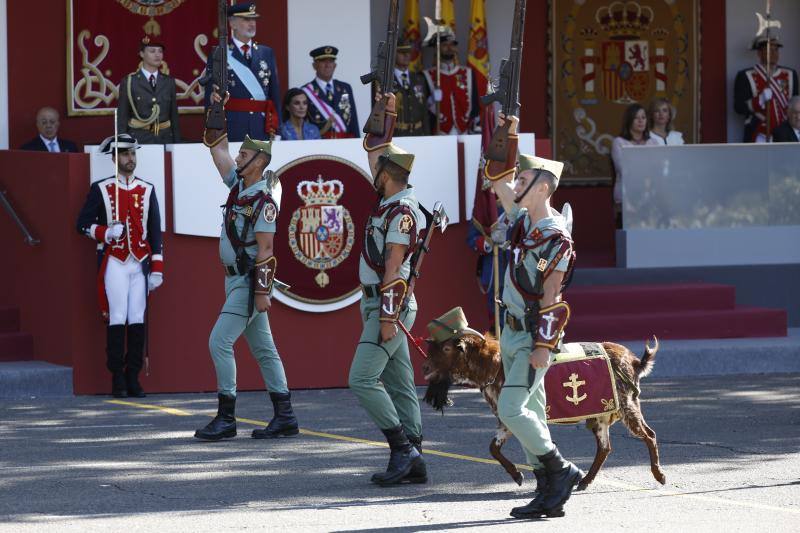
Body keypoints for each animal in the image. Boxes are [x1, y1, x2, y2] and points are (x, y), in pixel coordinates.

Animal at [422, 332, 664, 490]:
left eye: (446, 349)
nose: (425, 368)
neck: (494, 365)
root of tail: (634, 360)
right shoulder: (506, 420)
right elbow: (494, 448)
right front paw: (518, 475)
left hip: (626, 405)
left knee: (649, 435)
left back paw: (659, 475)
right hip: (601, 415)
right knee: (605, 447)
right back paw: (585, 482)